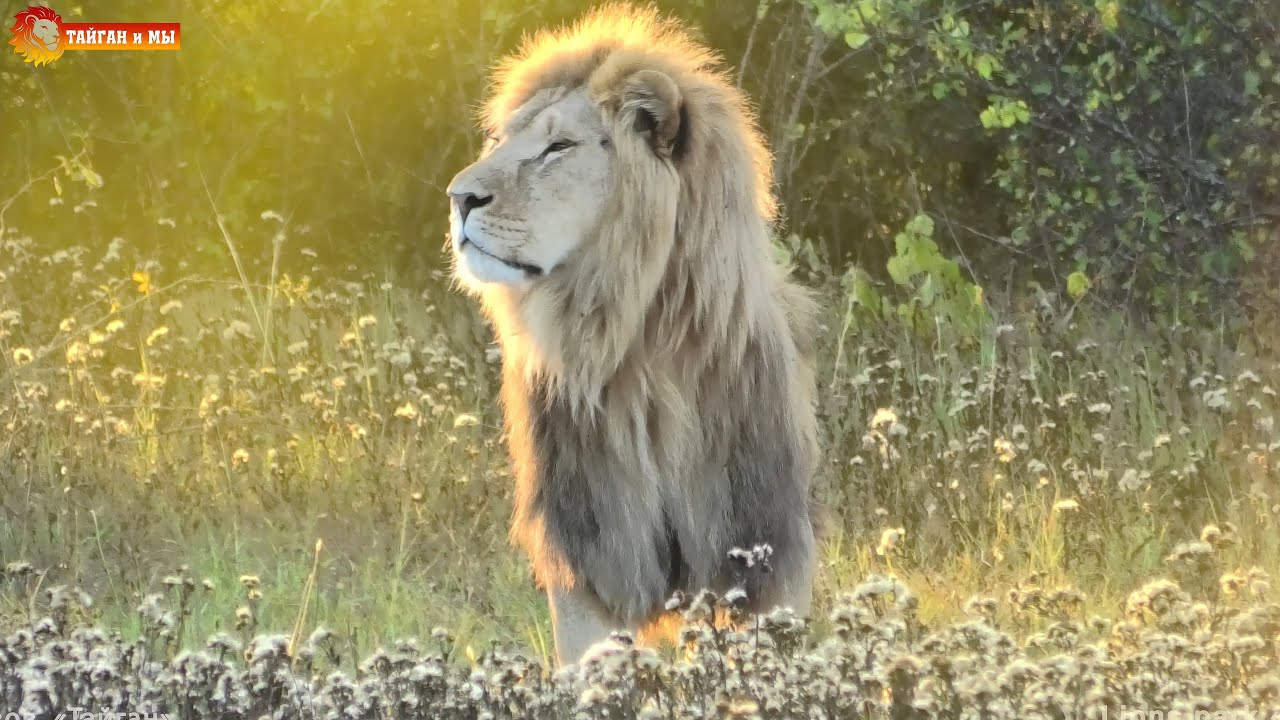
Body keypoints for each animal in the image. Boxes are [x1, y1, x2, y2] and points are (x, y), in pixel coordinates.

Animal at [445, 3, 820, 667]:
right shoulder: (592, 550)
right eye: (498, 143)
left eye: (558, 147)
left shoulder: (764, 543)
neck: (636, 339)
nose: (459, 197)